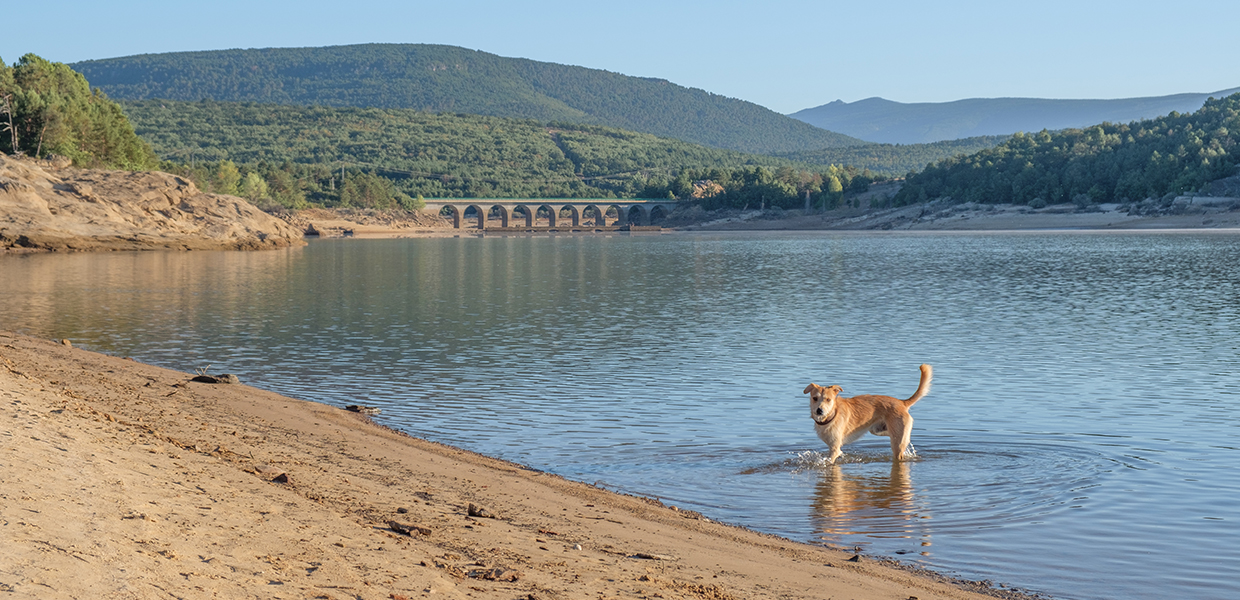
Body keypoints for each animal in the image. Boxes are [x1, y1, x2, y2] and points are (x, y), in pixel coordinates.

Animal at [803, 361, 932, 463]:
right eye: (815, 398)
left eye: (828, 400)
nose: (819, 410)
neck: (832, 415)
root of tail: (902, 403)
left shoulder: (835, 449)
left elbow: (829, 461)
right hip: (877, 430)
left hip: (896, 443)